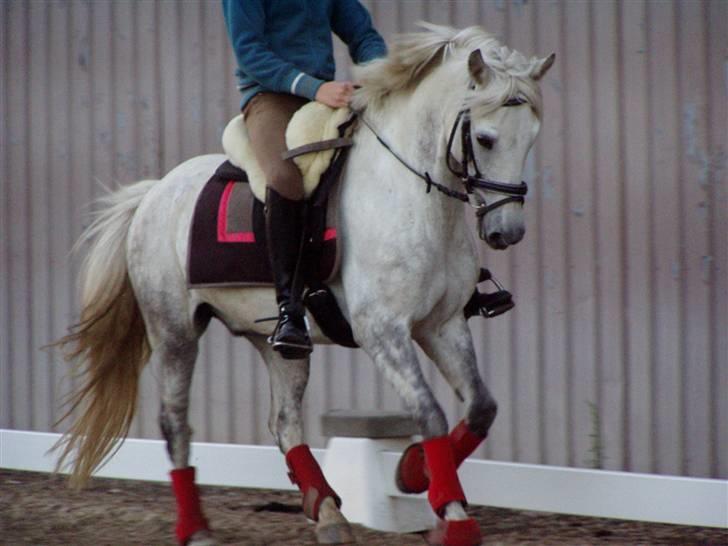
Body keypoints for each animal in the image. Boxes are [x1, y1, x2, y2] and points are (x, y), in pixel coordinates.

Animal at [53, 23, 554, 546]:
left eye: (531, 138)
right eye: (486, 138)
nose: (507, 233)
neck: (409, 195)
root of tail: (154, 193)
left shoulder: (442, 325)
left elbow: (481, 408)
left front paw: (413, 472)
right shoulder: (383, 332)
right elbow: (429, 411)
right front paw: (452, 515)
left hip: (279, 345)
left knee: (285, 423)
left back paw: (328, 512)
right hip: (174, 333)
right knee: (175, 423)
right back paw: (197, 529)